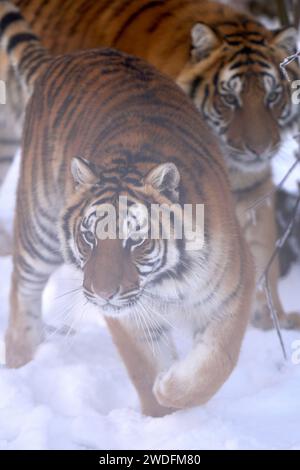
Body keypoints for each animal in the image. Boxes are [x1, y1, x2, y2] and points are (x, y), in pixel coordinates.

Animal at [0, 0, 298, 330]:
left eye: (273, 96)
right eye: (229, 98)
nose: (260, 150)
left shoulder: (250, 189)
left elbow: (262, 251)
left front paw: (269, 319)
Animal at [0, 1, 255, 416]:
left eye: (136, 242)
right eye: (89, 238)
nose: (102, 294)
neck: (167, 281)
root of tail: (64, 58)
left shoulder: (235, 286)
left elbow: (217, 360)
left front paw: (174, 388)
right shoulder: (130, 315)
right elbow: (145, 366)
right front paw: (163, 408)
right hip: (39, 227)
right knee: (23, 288)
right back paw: (22, 360)